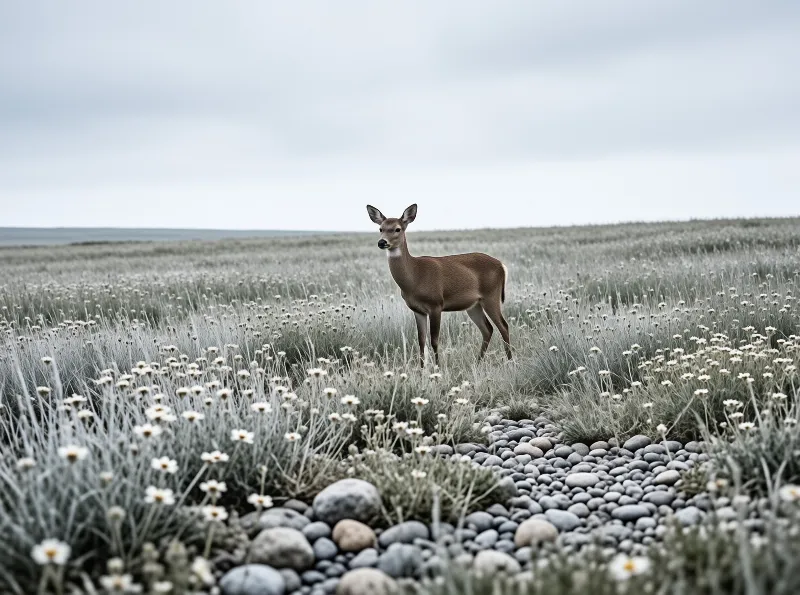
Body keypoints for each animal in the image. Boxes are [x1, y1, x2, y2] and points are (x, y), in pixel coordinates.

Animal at [366, 203, 512, 368]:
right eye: (381, 228)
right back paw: (478, 362)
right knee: (488, 329)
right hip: (474, 304)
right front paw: (421, 368)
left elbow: (434, 340)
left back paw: (510, 361)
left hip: (491, 295)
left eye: (397, 229)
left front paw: (438, 367)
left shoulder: (436, 304)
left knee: (503, 326)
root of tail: (501, 265)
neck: (415, 277)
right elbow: (421, 340)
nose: (382, 242)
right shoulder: (418, 310)